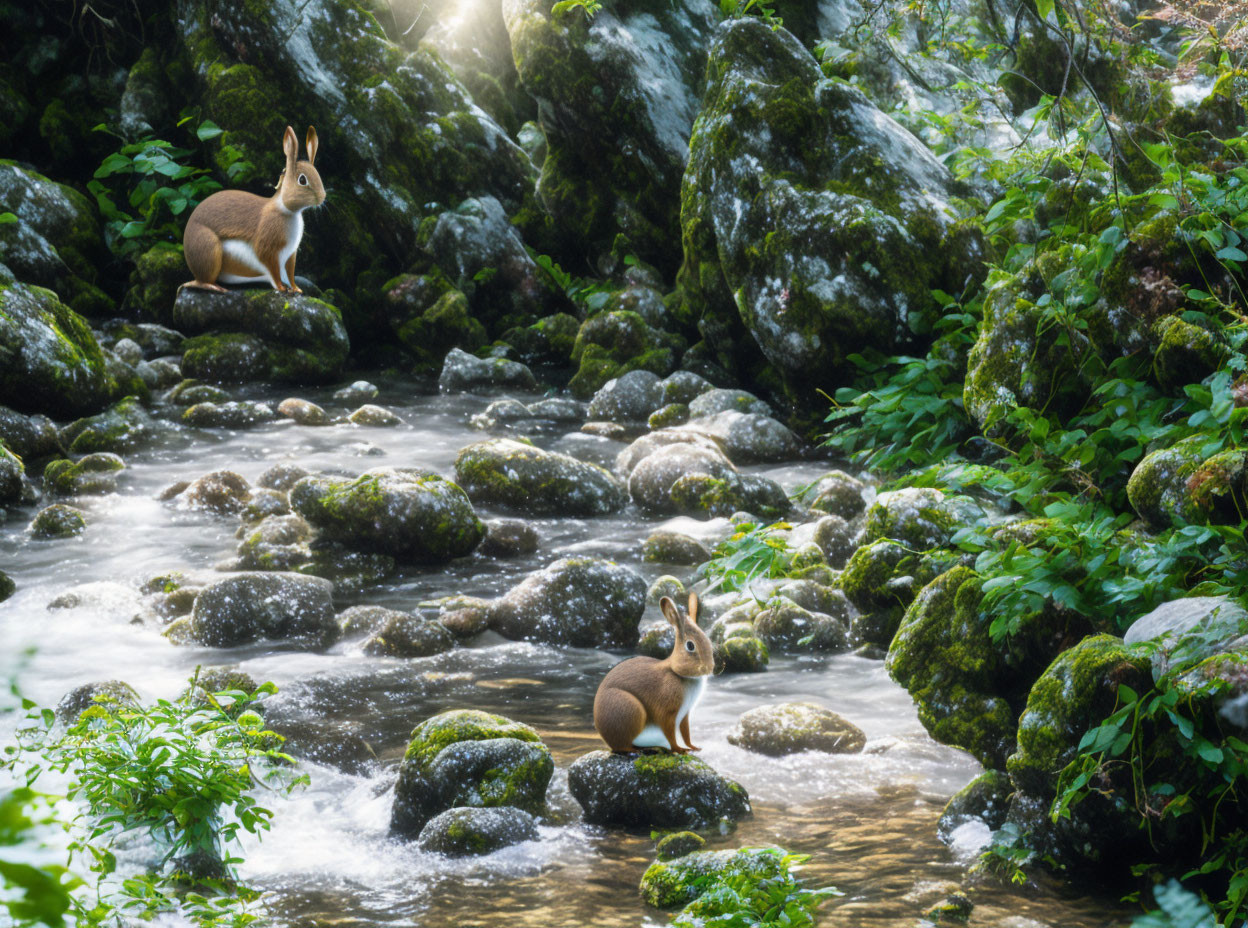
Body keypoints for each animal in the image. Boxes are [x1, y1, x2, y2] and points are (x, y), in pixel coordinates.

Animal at [182, 125, 326, 293]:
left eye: (318, 175)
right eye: (302, 180)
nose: (322, 197)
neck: (286, 210)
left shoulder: (290, 255)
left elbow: (290, 274)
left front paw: (296, 289)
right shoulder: (268, 250)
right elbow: (273, 271)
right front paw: (281, 288)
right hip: (210, 251)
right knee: (203, 281)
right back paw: (215, 287)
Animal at [591, 593, 713, 753]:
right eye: (690, 646)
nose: (709, 668)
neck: (678, 673)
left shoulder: (684, 714)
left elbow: (685, 732)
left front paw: (693, 747)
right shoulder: (667, 712)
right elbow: (670, 734)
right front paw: (679, 749)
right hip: (630, 709)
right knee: (623, 746)